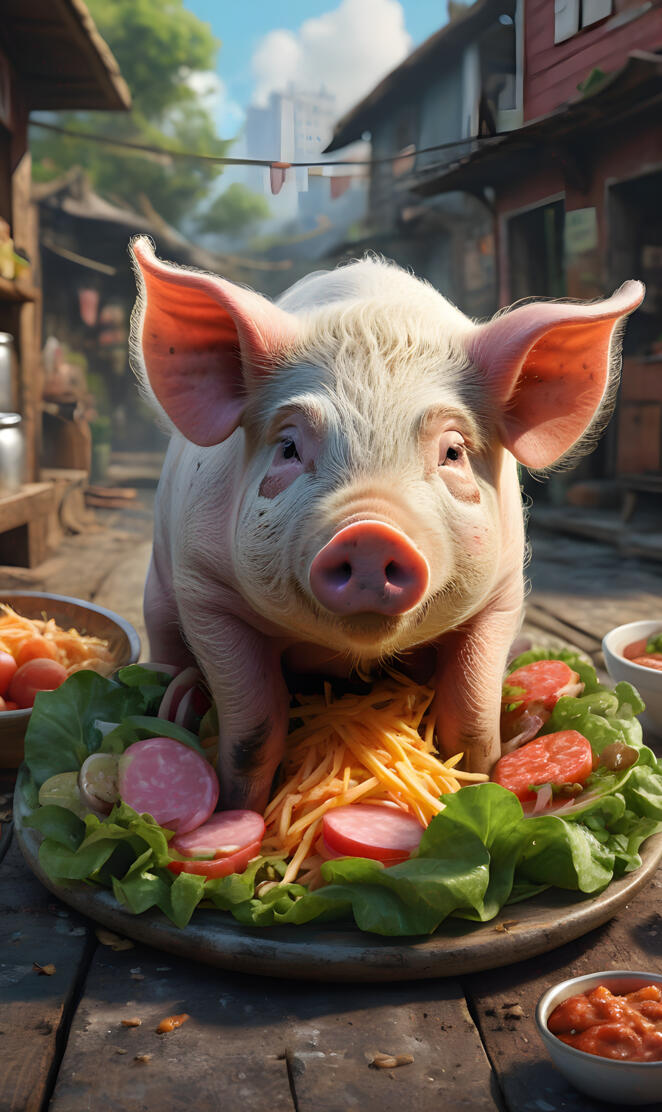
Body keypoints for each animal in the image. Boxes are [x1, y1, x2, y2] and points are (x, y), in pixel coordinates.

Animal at [130, 236, 643, 812]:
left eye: (453, 452)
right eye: (288, 448)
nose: (370, 533)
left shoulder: (502, 593)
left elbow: (472, 717)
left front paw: (481, 785)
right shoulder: (206, 589)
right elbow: (253, 732)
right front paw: (241, 811)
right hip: (157, 587)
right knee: (164, 639)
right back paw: (176, 694)